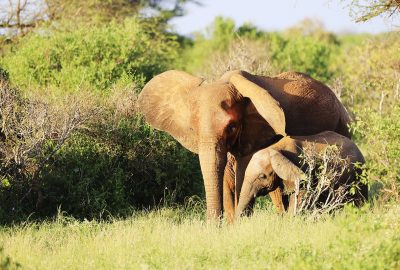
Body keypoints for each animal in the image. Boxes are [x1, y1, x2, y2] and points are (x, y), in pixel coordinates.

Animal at [234, 131, 368, 219]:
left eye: (262, 176)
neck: (275, 148)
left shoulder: (303, 166)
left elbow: (300, 194)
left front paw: (290, 220)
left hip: (359, 174)